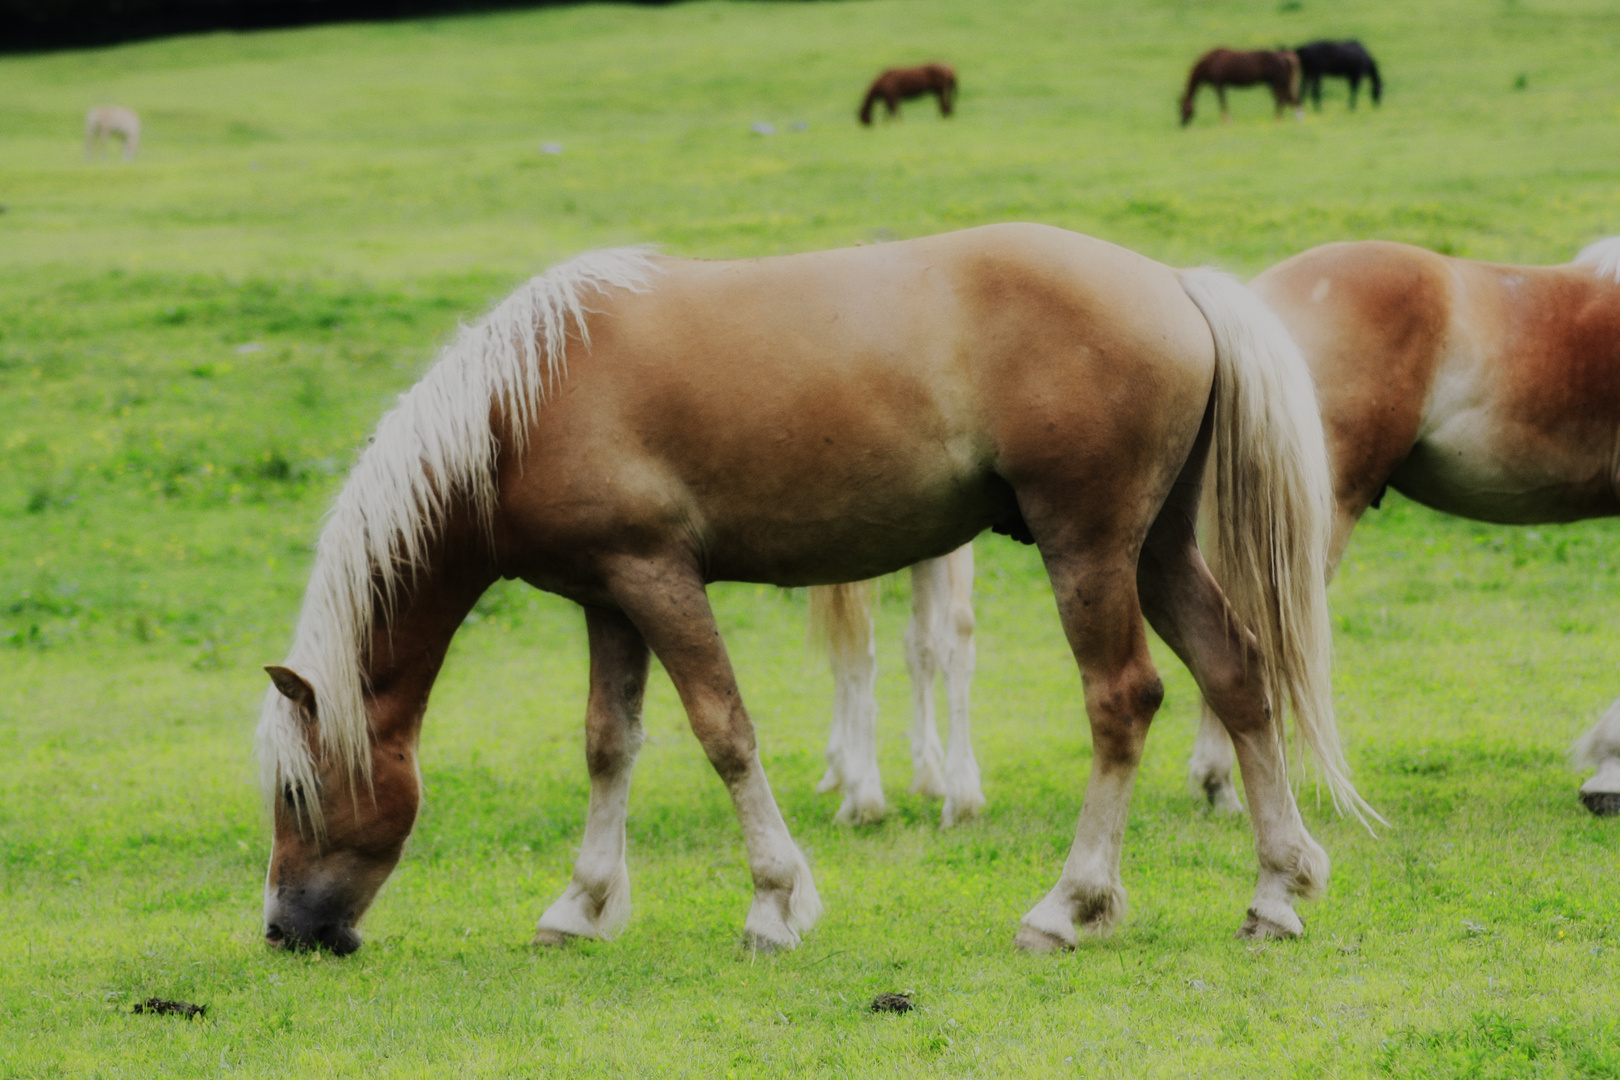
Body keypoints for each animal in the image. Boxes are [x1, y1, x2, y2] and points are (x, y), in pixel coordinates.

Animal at [806, 544, 978, 822]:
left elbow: (842, 652)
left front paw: (840, 764)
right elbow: (921, 646)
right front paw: (928, 770)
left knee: (858, 649)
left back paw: (861, 796)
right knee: (957, 628)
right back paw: (962, 796)